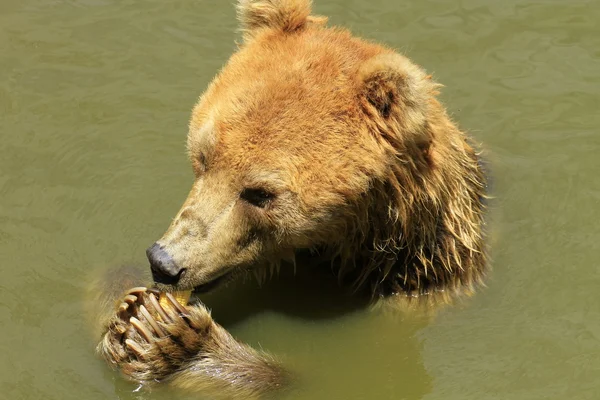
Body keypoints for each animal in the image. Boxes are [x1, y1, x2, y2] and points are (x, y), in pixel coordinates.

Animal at [96, 0, 486, 396]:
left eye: (259, 193)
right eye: (203, 156)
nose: (165, 262)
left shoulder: (412, 295)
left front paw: (172, 339)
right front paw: (128, 308)